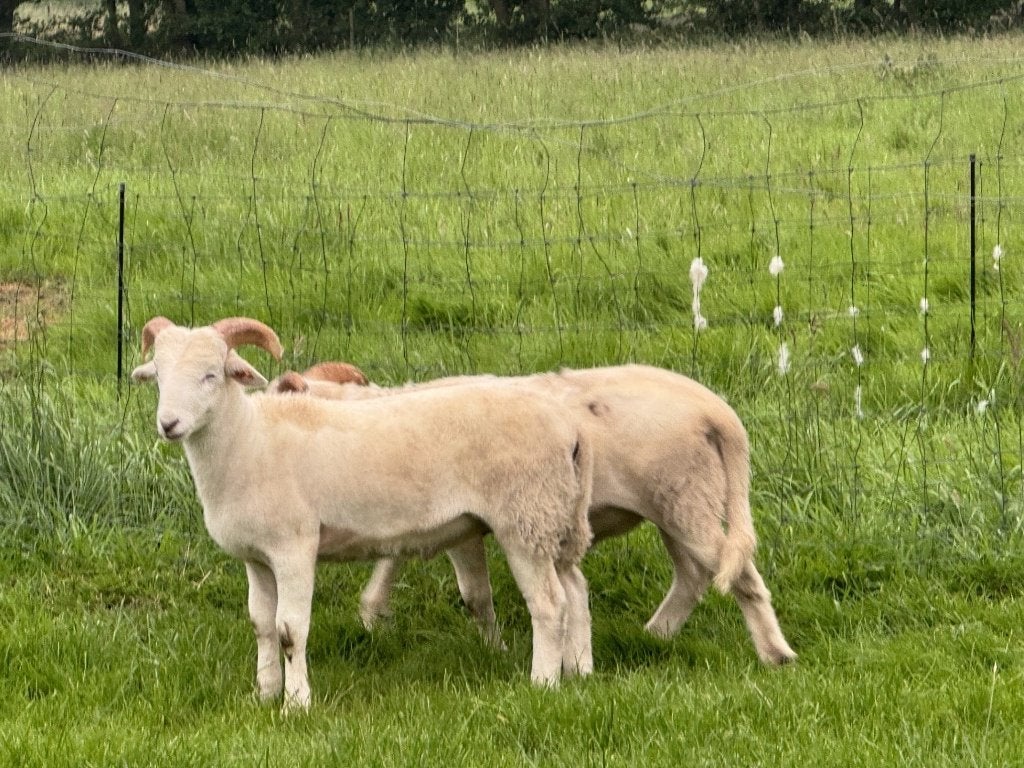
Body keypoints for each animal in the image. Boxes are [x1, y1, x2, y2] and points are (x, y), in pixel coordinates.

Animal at [131, 316, 595, 711]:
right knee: (575, 588)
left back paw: (543, 683)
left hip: (526, 516)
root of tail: (569, 427)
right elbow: (261, 625)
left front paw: (296, 704)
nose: (168, 424)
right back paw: (580, 671)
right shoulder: (257, 557)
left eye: (211, 374)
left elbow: (289, 629)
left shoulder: (294, 547)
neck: (249, 439)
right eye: (159, 376)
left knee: (550, 604)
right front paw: (263, 694)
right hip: (555, 514)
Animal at [269, 362, 797, 667]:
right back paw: (655, 636)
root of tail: (715, 410)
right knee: (694, 574)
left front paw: (494, 649)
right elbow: (393, 557)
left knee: (738, 575)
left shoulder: (460, 526)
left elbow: (474, 595)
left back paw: (776, 654)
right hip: (678, 507)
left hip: (685, 501)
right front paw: (373, 614)